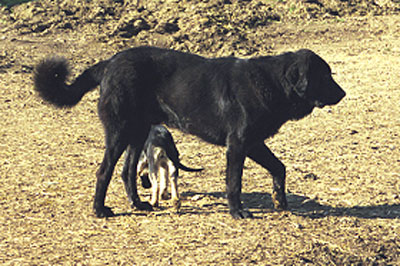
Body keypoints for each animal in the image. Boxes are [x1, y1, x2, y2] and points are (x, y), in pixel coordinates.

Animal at [34, 46, 346, 219]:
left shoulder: (255, 143)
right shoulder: (239, 144)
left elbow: (279, 168)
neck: (273, 82)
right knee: (105, 171)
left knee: (126, 171)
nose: (343, 94)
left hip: (138, 133)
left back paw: (139, 204)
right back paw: (100, 211)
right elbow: (234, 182)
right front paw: (238, 212)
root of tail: (110, 62)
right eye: (324, 75)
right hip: (119, 131)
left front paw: (280, 201)